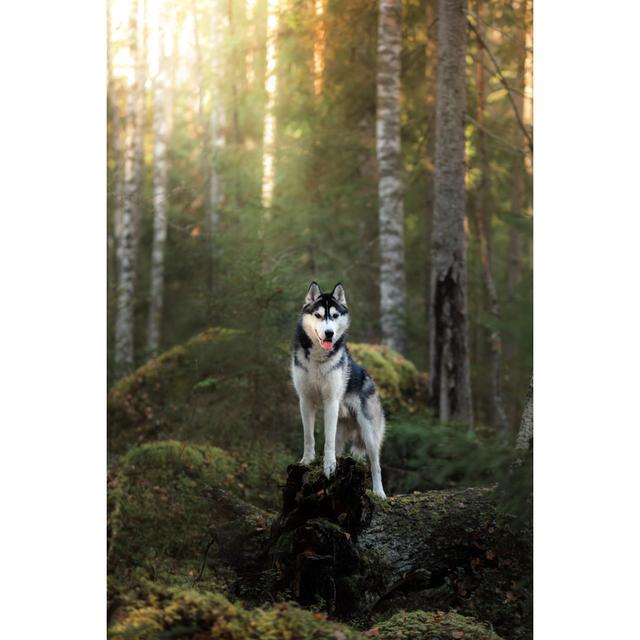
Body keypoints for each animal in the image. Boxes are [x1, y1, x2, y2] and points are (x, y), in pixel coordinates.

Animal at [292, 282, 388, 498]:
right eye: (318, 315)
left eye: (334, 316)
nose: (329, 333)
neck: (319, 357)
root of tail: (370, 379)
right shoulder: (305, 400)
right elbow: (309, 437)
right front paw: (307, 461)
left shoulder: (331, 402)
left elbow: (327, 442)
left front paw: (329, 467)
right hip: (343, 429)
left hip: (369, 433)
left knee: (375, 465)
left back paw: (379, 493)